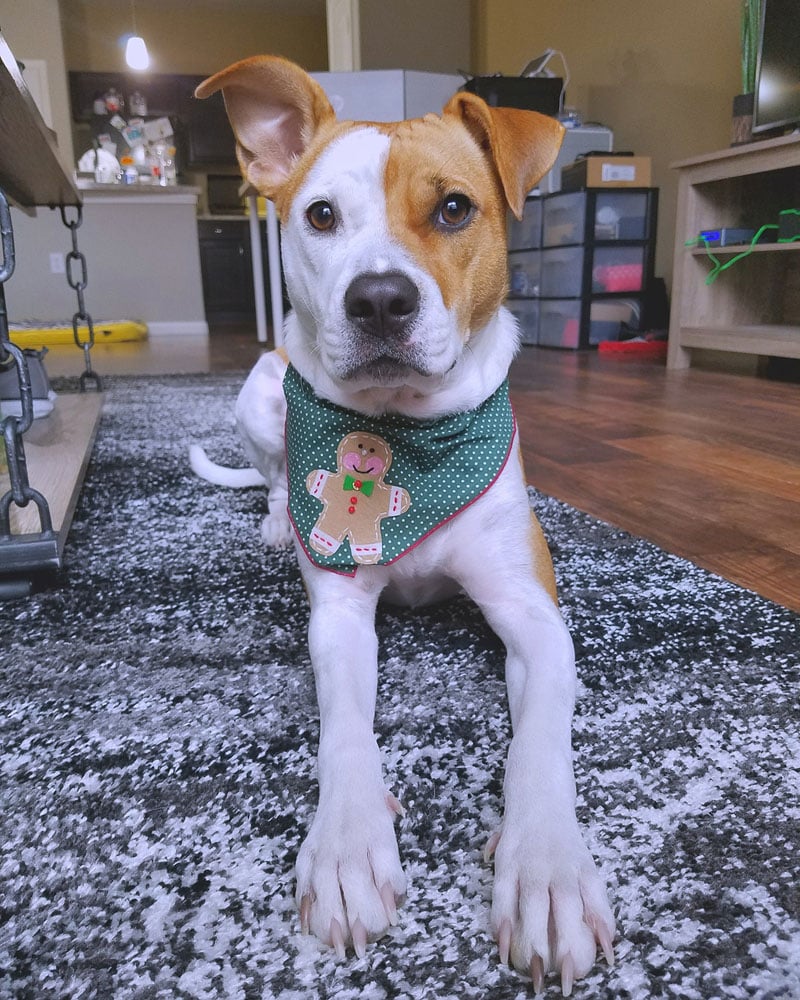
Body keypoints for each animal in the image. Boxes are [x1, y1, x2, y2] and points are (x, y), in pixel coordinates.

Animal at [194, 58, 620, 996]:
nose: (380, 299)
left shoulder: (534, 615)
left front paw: (547, 869)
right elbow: (344, 731)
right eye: (320, 215)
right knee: (272, 470)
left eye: (455, 208)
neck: (410, 440)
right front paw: (348, 846)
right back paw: (275, 519)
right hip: (260, 386)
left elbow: (542, 742)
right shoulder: (340, 615)